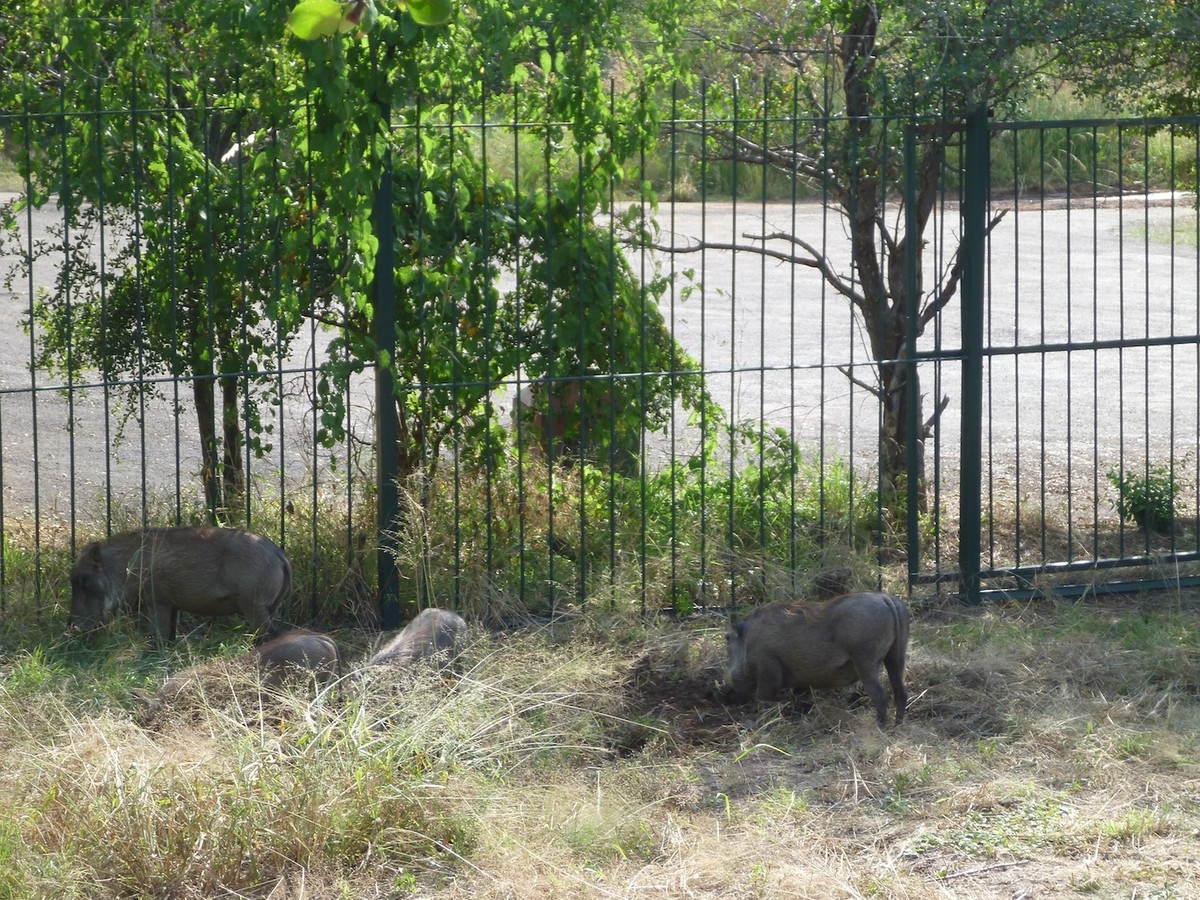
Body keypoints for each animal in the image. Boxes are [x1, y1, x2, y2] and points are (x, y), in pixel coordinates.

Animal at [68, 525, 290, 643]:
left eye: (85, 580)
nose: (73, 628)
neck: (128, 565)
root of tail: (278, 553)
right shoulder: (171, 605)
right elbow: (169, 635)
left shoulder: (158, 601)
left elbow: (159, 634)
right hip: (269, 607)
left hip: (254, 606)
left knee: (271, 635)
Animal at [725, 592, 911, 727]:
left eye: (727, 639)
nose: (726, 695)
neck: (747, 640)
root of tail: (886, 598)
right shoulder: (801, 682)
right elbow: (800, 700)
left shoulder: (768, 675)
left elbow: (763, 701)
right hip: (896, 656)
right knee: (901, 693)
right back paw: (897, 726)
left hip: (866, 662)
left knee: (880, 696)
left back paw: (879, 728)